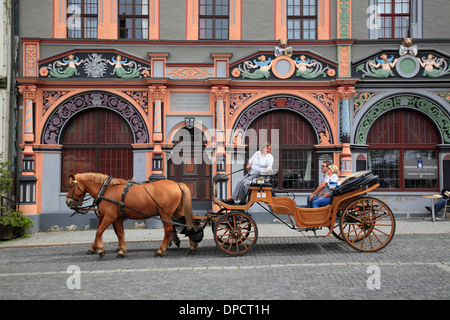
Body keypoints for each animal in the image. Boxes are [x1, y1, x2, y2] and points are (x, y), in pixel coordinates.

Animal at [65, 174, 197, 258]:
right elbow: (119, 233)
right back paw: (192, 247)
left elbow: (99, 231)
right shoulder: (116, 217)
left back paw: (161, 250)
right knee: (189, 224)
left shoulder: (109, 216)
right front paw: (121, 250)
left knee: (169, 229)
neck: (106, 190)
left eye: (71, 186)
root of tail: (177, 184)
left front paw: (101, 250)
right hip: (177, 212)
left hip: (165, 213)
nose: (68, 202)